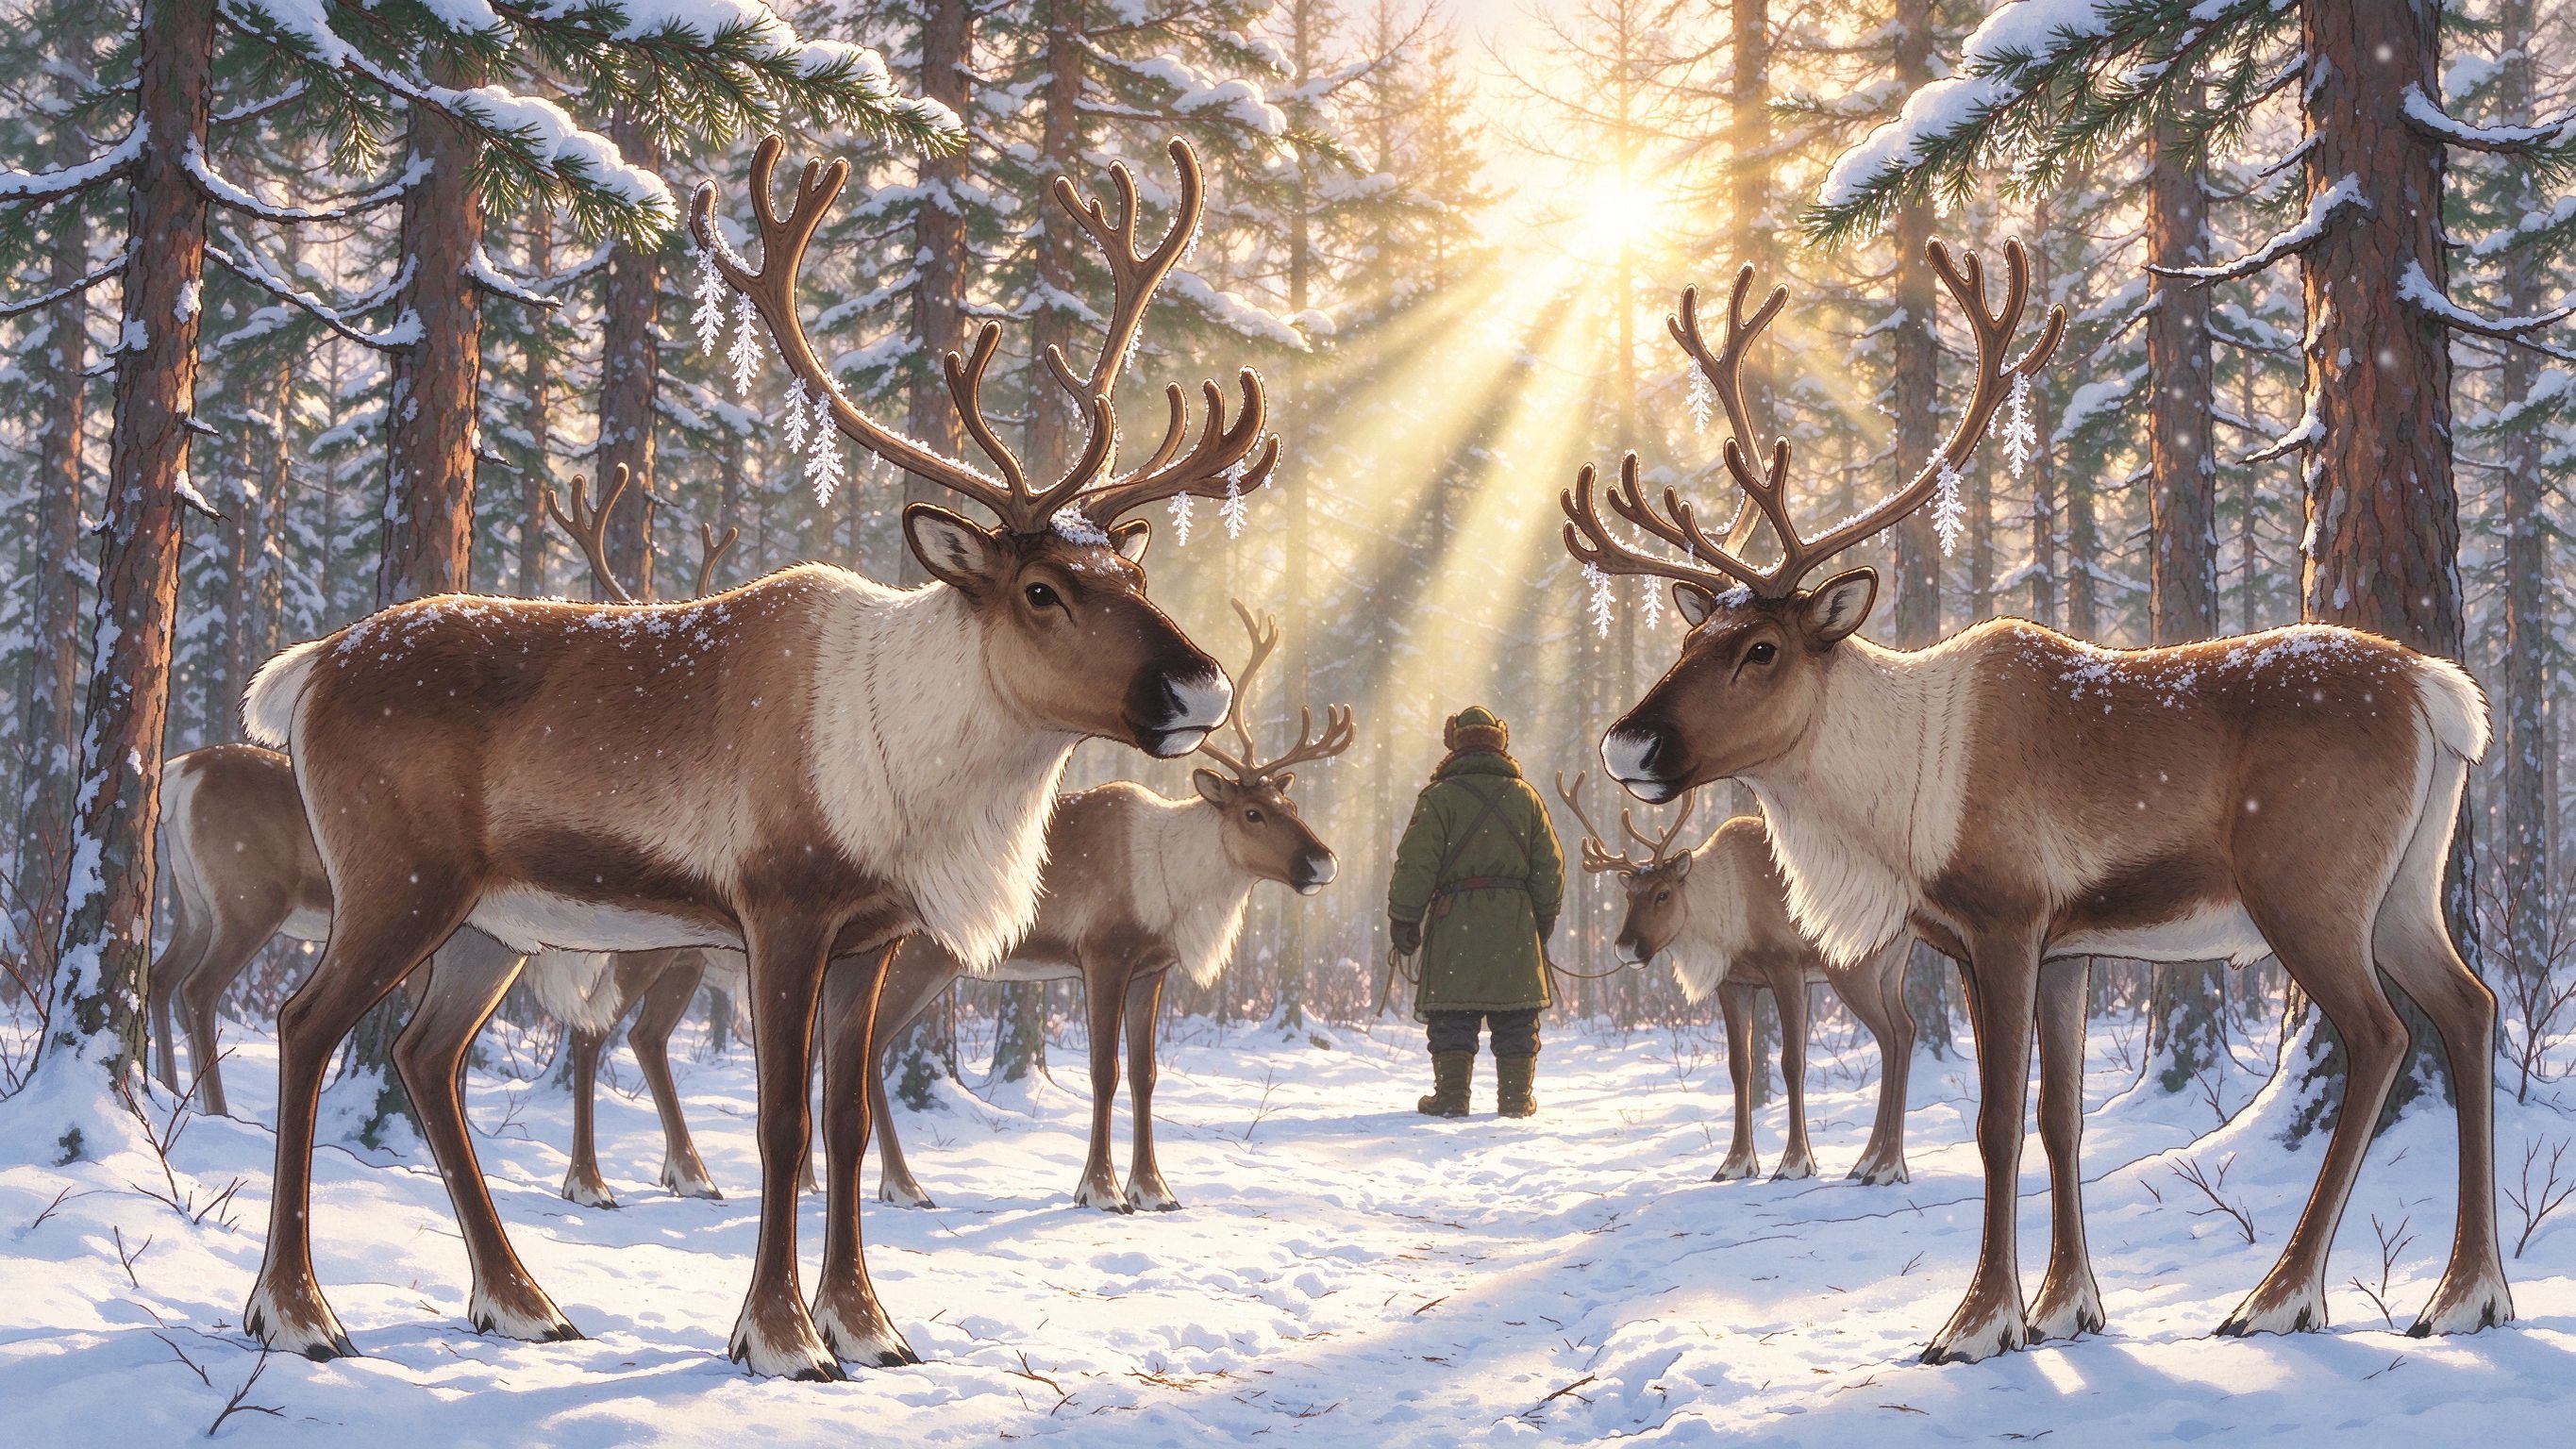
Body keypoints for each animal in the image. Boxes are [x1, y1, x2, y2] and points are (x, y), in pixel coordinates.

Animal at [236, 134, 1280, 1380]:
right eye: (1042, 589)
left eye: (1132, 572)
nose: (1199, 686)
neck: (918, 767)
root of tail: (306, 670)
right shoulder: (781, 905)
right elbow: (783, 1120)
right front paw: (783, 1336)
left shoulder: (871, 933)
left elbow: (846, 1114)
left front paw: (870, 1326)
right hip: (395, 882)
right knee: (304, 1026)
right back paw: (297, 1313)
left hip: (493, 923)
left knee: (424, 1058)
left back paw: (523, 1302)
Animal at [866, 600, 1352, 1213]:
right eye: (1253, 814)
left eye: (1291, 804)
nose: (1323, 862)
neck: (1173, 886)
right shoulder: (1102, 954)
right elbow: (1104, 1069)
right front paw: (1100, 1190)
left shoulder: (1152, 969)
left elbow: (1146, 1073)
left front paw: (1155, 1190)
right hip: (918, 958)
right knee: (861, 1045)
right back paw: (902, 1187)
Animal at [1555, 773, 1915, 1186]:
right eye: (1629, 895)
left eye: (1663, 893)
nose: (1626, 947)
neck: (1723, 915)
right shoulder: (1735, 983)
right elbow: (1740, 1066)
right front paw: (1736, 1163)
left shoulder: (1787, 968)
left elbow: (1792, 1062)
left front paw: (1794, 1163)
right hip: (1889, 972)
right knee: (1904, 1030)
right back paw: (1870, 1162)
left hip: (1853, 971)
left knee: (1891, 1035)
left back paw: (1885, 1165)